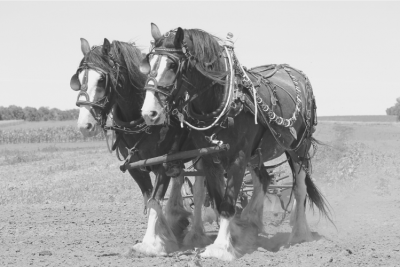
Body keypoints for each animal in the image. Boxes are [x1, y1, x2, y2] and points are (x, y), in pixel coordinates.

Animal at [70, 38, 205, 256]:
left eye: (101, 80)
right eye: (80, 78)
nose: (84, 126)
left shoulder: (162, 165)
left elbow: (154, 201)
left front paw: (151, 243)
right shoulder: (136, 167)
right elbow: (149, 199)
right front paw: (165, 233)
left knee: (200, 190)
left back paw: (196, 233)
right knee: (180, 179)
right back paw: (177, 219)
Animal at [139, 23, 332, 262]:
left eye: (173, 65)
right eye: (149, 63)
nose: (149, 112)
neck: (223, 99)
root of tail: (295, 72)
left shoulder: (239, 157)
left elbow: (228, 203)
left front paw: (221, 248)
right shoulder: (210, 158)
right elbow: (218, 198)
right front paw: (230, 238)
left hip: (298, 148)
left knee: (299, 188)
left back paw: (299, 233)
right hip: (258, 153)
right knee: (264, 180)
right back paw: (250, 222)